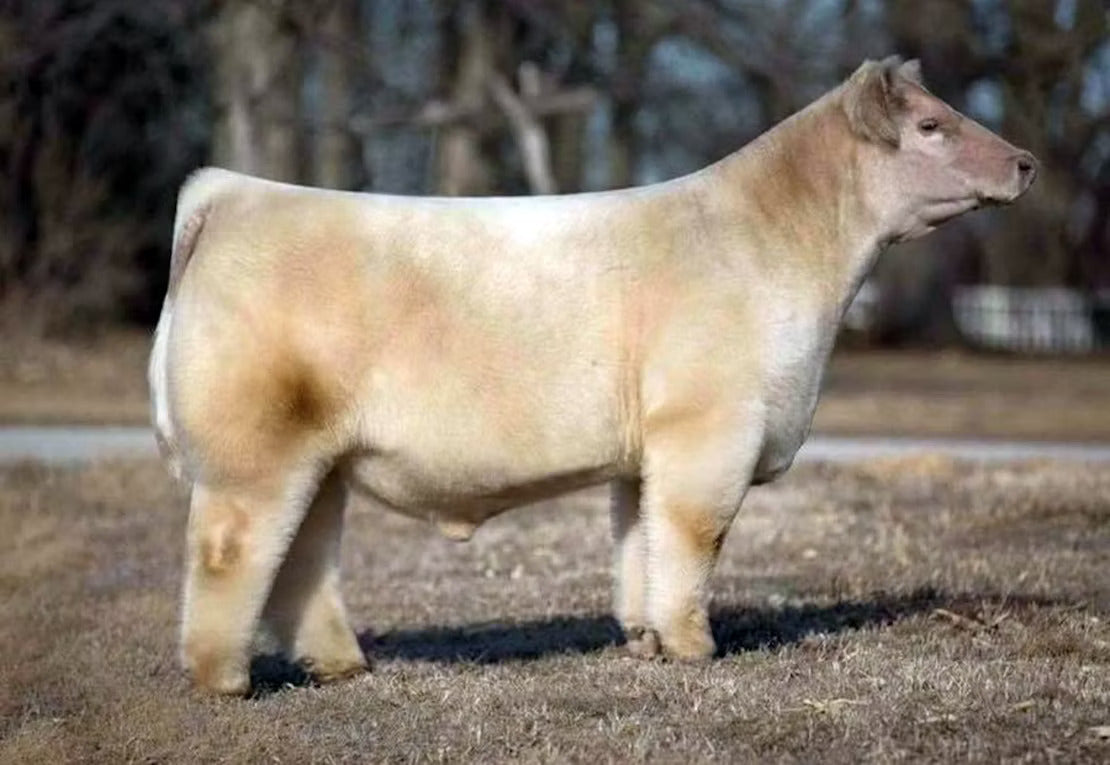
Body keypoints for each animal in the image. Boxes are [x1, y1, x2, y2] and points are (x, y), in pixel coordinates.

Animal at [149, 57, 1037, 695]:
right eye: (930, 124)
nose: (1026, 162)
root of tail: (232, 193)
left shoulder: (649, 452)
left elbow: (639, 540)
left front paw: (647, 640)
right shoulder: (712, 428)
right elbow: (696, 534)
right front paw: (694, 646)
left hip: (319, 457)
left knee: (302, 559)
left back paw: (341, 665)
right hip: (255, 454)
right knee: (231, 552)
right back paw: (224, 680)